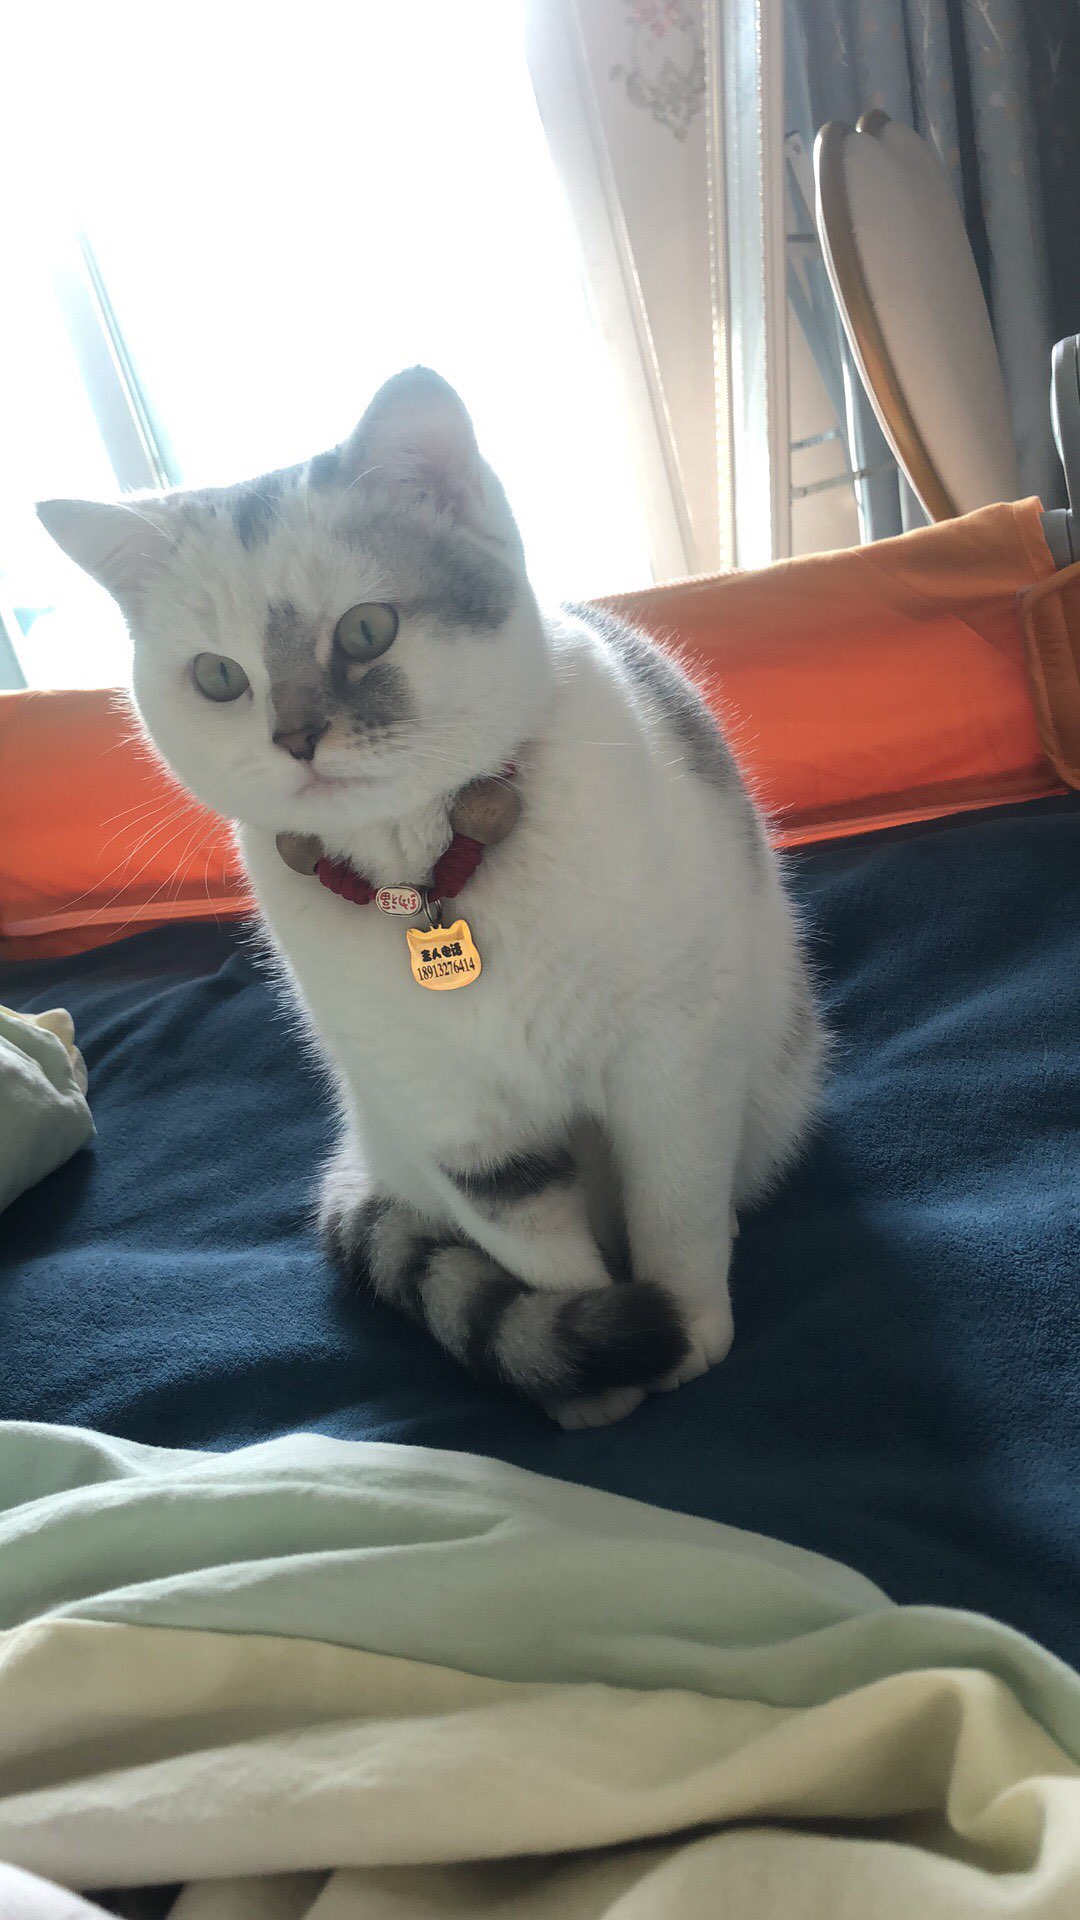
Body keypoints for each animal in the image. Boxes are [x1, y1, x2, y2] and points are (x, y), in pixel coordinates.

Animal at [38, 367, 823, 1427]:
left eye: (367, 630)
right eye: (218, 677)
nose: (296, 738)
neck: (424, 873)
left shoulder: (674, 1055)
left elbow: (678, 1206)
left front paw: (687, 1327)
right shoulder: (460, 1120)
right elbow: (542, 1263)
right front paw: (594, 1383)